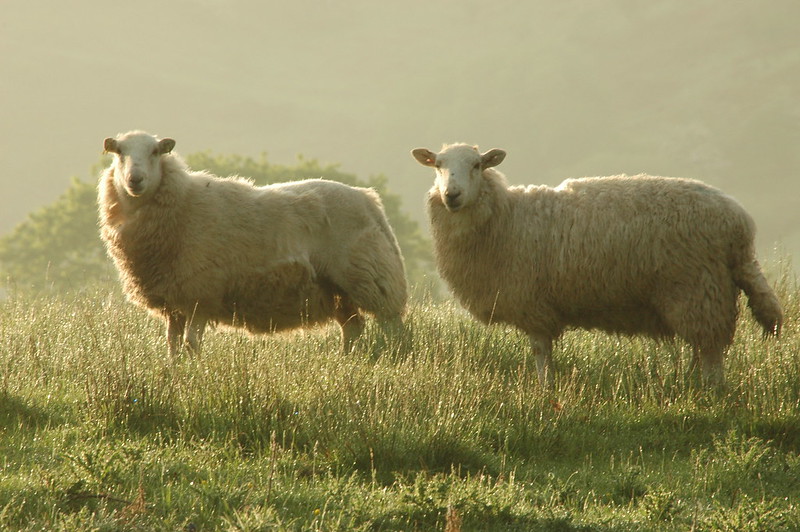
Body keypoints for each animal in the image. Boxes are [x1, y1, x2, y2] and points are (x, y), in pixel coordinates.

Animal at [99, 129, 406, 356]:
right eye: (120, 153)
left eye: (155, 152)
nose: (135, 179)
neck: (183, 203)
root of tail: (369, 198)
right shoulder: (174, 299)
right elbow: (173, 345)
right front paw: (175, 374)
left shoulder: (201, 292)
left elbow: (191, 344)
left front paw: (193, 377)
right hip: (335, 288)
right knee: (353, 327)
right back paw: (346, 360)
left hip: (371, 278)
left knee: (391, 324)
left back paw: (394, 358)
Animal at [412, 143, 780, 388]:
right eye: (438, 165)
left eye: (477, 165)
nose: (451, 195)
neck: (507, 217)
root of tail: (739, 223)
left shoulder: (534, 303)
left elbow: (540, 351)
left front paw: (544, 391)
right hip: (702, 291)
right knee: (703, 347)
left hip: (698, 287)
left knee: (711, 349)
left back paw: (711, 390)